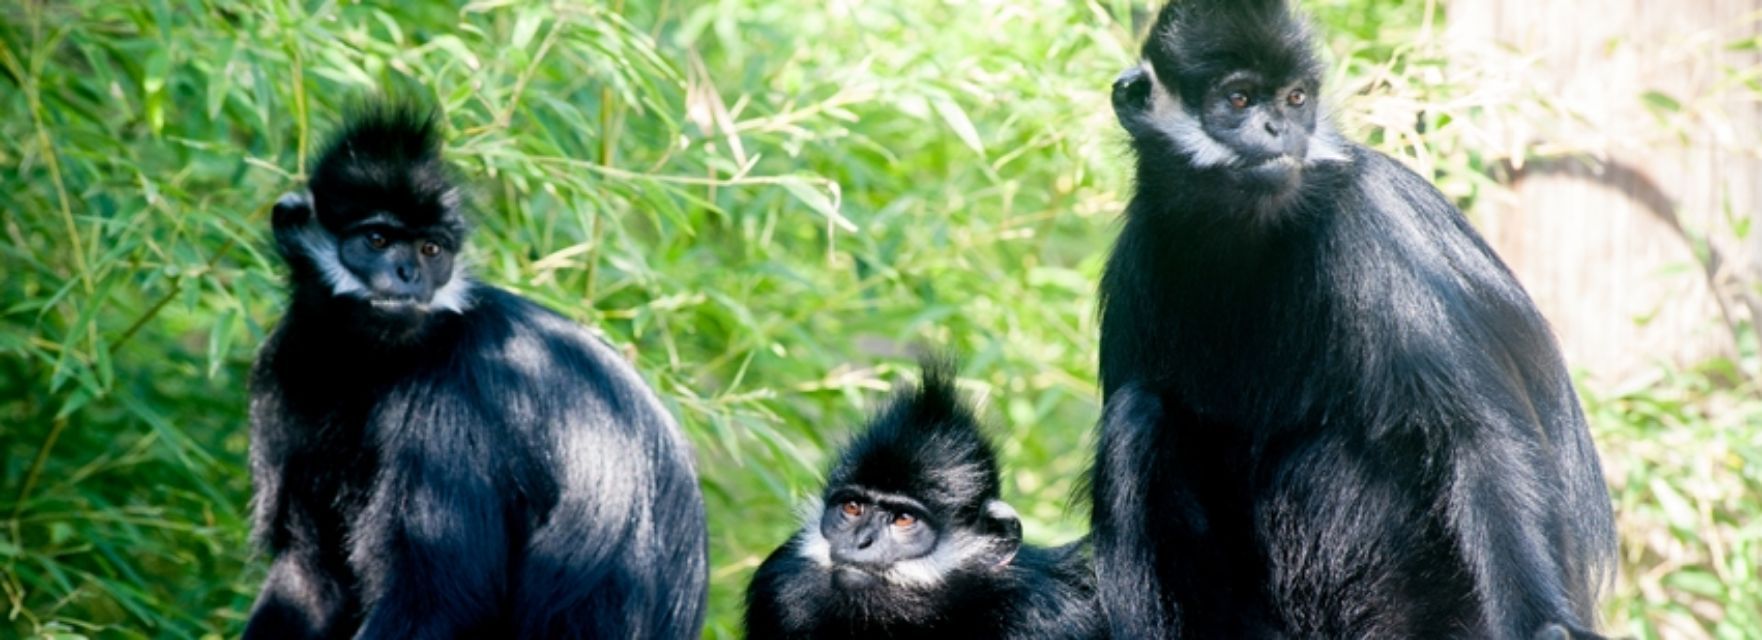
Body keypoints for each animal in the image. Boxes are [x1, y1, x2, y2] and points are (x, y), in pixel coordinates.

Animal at [243, 101, 708, 639]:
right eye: (377, 239)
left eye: (431, 250)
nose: (409, 275)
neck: (368, 363)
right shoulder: (283, 372)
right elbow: (310, 572)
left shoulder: (451, 402)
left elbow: (435, 599)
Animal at [1092, 1, 1616, 637]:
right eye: (1239, 99)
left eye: (1295, 99)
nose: (1280, 130)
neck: (1247, 229)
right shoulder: (1137, 259)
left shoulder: (1370, 221)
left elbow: (1479, 439)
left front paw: (1546, 622)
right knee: (1137, 417)